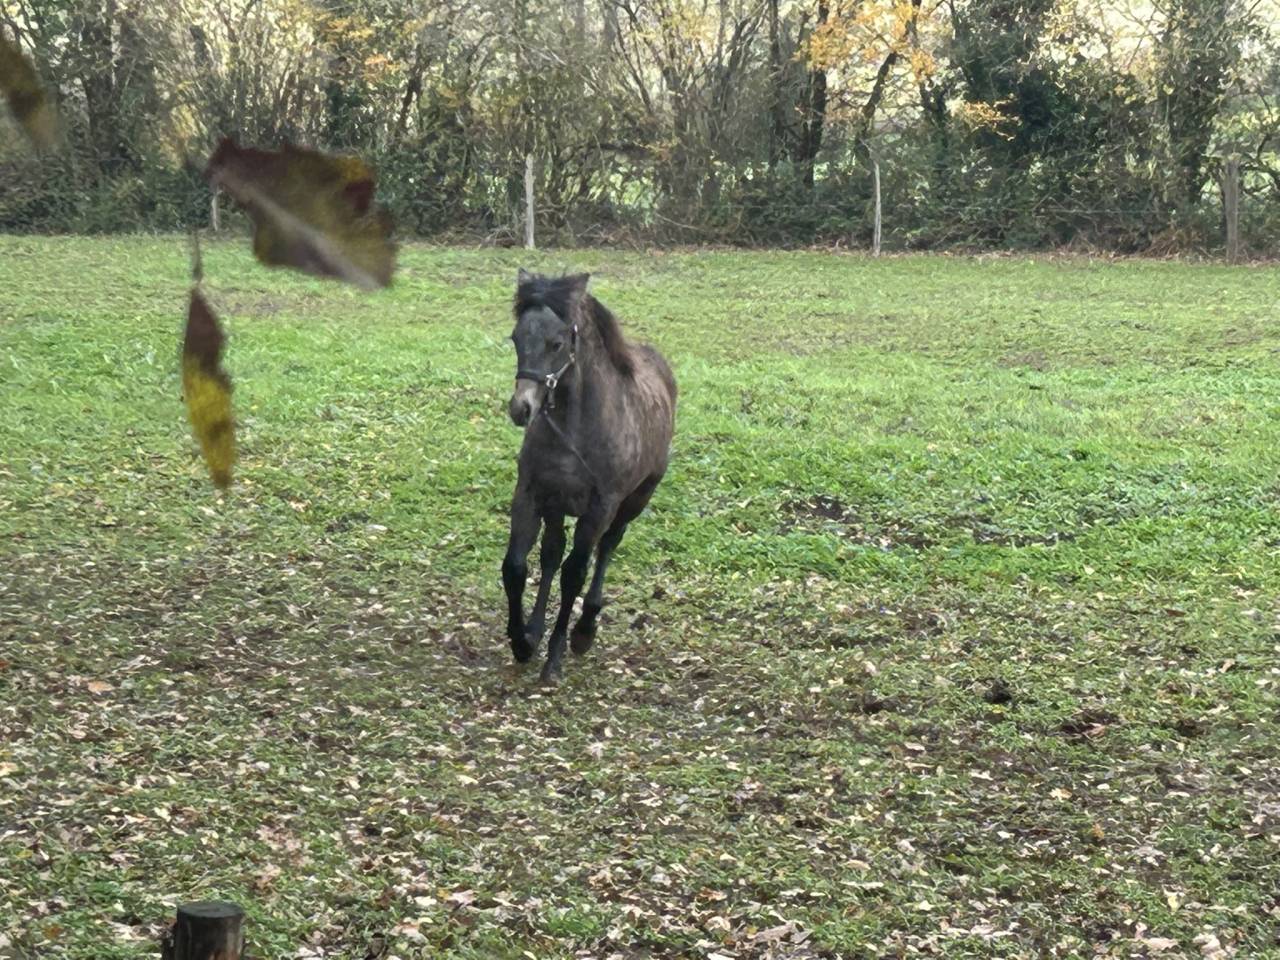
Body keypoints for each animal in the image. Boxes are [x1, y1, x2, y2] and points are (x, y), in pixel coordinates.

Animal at [502, 269, 677, 683]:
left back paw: (585, 629)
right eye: (516, 338)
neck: (576, 426)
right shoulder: (531, 494)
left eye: (556, 342)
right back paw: (536, 628)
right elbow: (516, 566)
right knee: (551, 552)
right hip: (557, 506)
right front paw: (522, 641)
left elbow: (575, 573)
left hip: (634, 501)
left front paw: (555, 657)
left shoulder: (599, 508)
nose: (521, 408)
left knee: (607, 547)